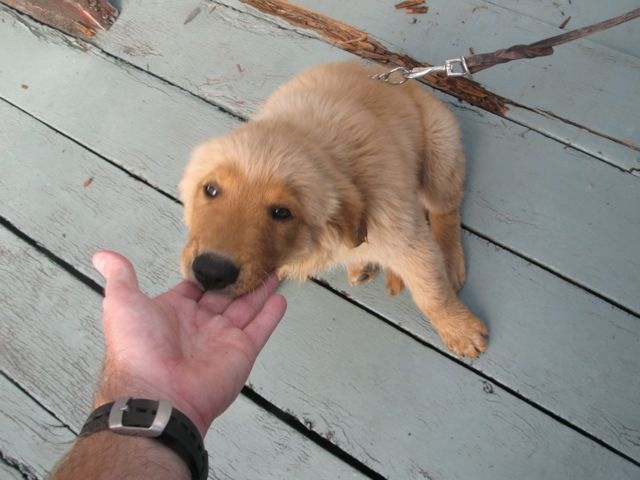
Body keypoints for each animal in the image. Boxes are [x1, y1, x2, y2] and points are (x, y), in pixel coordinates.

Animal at [182, 61, 488, 356]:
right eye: (210, 190)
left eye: (282, 212)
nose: (211, 272)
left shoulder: (406, 238)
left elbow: (432, 292)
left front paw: (459, 330)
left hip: (441, 149)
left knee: (445, 208)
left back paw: (450, 260)